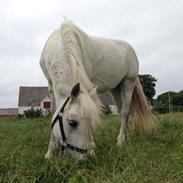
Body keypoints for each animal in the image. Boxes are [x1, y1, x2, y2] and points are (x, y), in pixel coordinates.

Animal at [39, 20, 155, 160]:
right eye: (72, 122)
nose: (82, 158)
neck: (60, 43)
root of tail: (130, 49)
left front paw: (92, 149)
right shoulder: (50, 84)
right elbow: (54, 114)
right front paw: (50, 152)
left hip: (128, 82)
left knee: (125, 112)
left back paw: (120, 141)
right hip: (116, 89)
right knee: (123, 111)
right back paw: (129, 136)